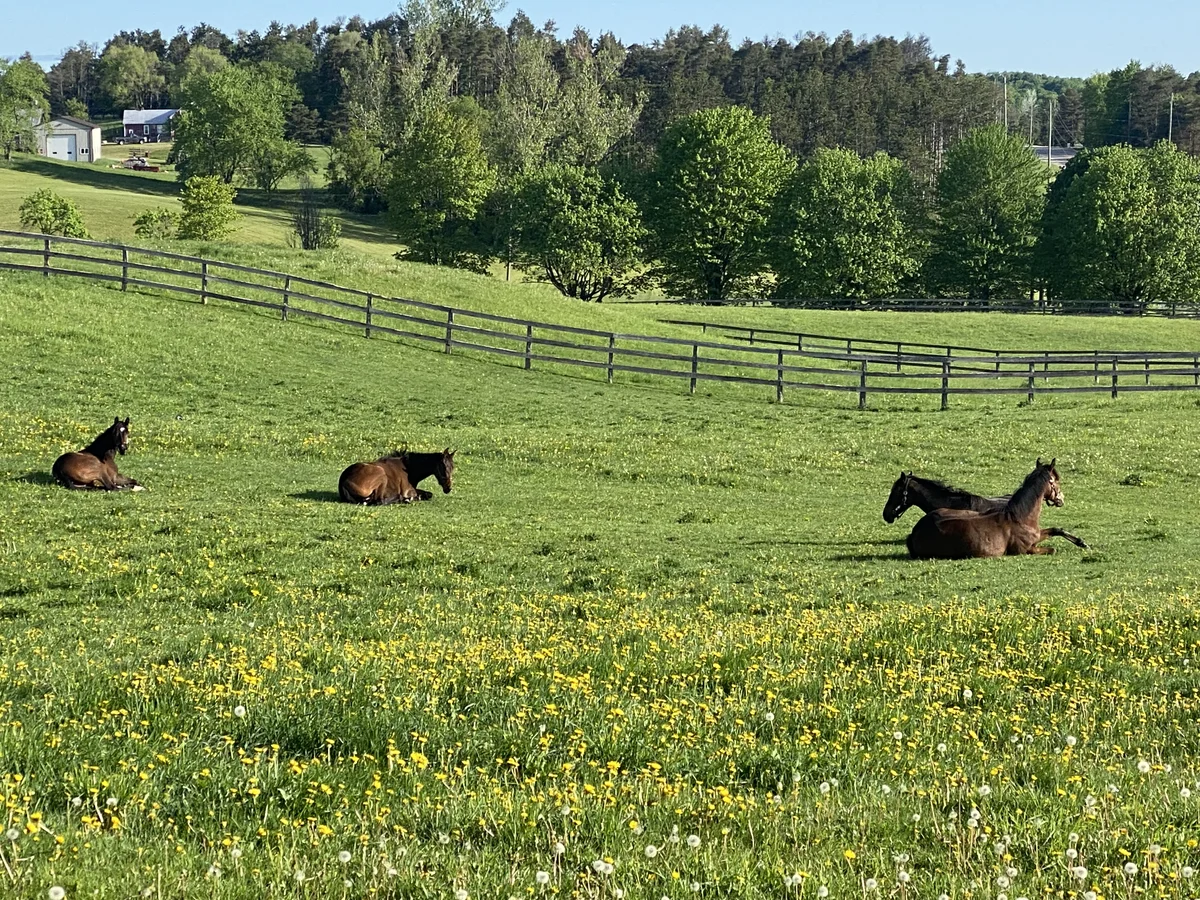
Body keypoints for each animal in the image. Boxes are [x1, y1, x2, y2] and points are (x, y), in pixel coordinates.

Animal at [906, 459, 1089, 559]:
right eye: (1056, 480)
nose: (1061, 499)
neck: (1020, 517)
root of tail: (915, 531)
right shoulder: (1026, 550)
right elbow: (1052, 549)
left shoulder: (1037, 535)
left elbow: (1056, 530)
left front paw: (1082, 543)